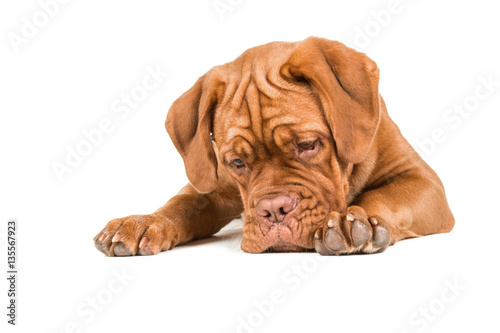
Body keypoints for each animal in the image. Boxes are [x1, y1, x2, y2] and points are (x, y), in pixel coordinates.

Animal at [93, 36, 454, 255]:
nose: (274, 210)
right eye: (237, 163)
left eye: (308, 145)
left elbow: (383, 196)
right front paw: (146, 221)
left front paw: (355, 220)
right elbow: (181, 203)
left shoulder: (422, 182)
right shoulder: (213, 189)